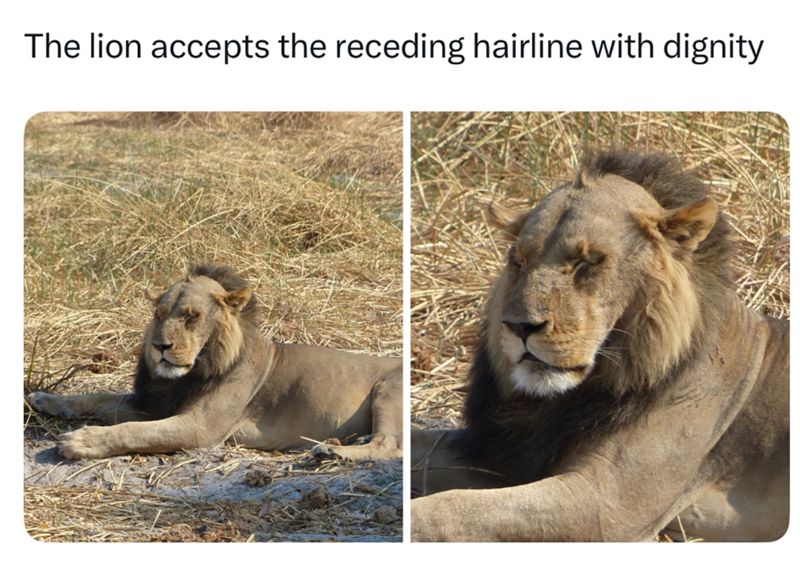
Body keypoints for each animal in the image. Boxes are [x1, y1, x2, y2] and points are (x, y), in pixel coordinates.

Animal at [27, 264, 402, 461]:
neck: (188, 375)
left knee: (390, 445)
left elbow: (134, 431)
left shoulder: (200, 427)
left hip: (387, 389)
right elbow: (99, 398)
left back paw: (332, 451)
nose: (160, 346)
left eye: (191, 317)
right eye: (159, 314)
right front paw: (45, 399)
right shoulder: (156, 404)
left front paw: (80, 442)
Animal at [411, 151, 789, 542]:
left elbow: (448, 509)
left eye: (587, 261)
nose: (520, 327)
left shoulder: (608, 505)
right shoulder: (502, 455)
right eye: (519, 261)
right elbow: (417, 446)